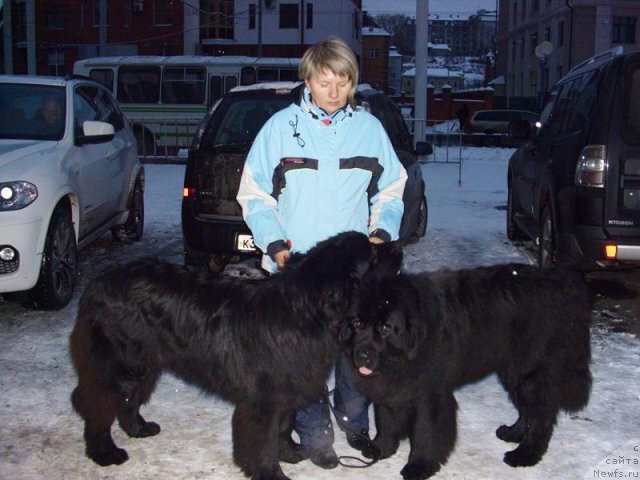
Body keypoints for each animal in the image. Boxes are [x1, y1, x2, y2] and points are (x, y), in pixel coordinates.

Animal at [70, 231, 400, 478]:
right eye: (372, 254)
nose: (396, 245)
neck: (305, 311)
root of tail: (99, 281)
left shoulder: (287, 389)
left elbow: (283, 427)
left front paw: (290, 452)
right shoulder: (262, 401)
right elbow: (262, 442)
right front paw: (271, 474)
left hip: (146, 365)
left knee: (128, 402)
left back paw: (139, 429)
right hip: (119, 366)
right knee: (99, 407)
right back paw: (105, 453)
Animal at [342, 262, 592, 480]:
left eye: (385, 328)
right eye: (357, 323)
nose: (361, 355)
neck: (408, 350)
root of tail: (563, 285)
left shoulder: (431, 395)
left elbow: (426, 433)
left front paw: (419, 466)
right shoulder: (389, 386)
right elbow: (386, 419)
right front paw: (381, 448)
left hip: (529, 372)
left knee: (542, 415)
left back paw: (525, 454)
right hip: (512, 372)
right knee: (528, 410)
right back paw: (514, 433)